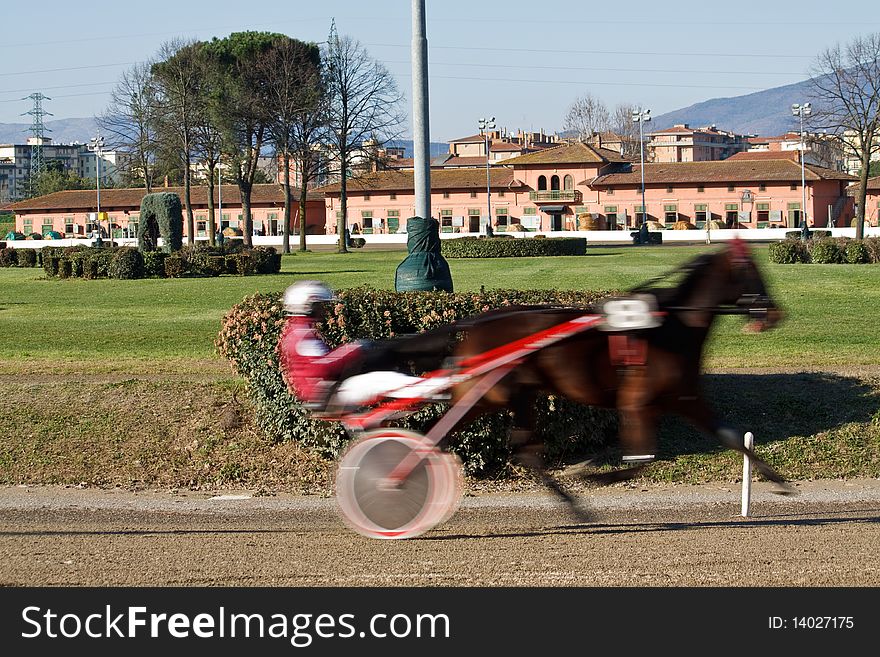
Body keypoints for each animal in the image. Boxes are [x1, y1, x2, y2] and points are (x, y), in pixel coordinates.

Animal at [444, 241, 796, 516]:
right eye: (751, 270)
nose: (775, 313)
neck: (674, 327)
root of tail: (475, 326)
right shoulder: (636, 400)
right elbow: (641, 460)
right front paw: (593, 475)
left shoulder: (684, 398)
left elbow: (731, 439)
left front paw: (781, 483)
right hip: (488, 394)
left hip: (515, 395)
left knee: (522, 449)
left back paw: (572, 505)